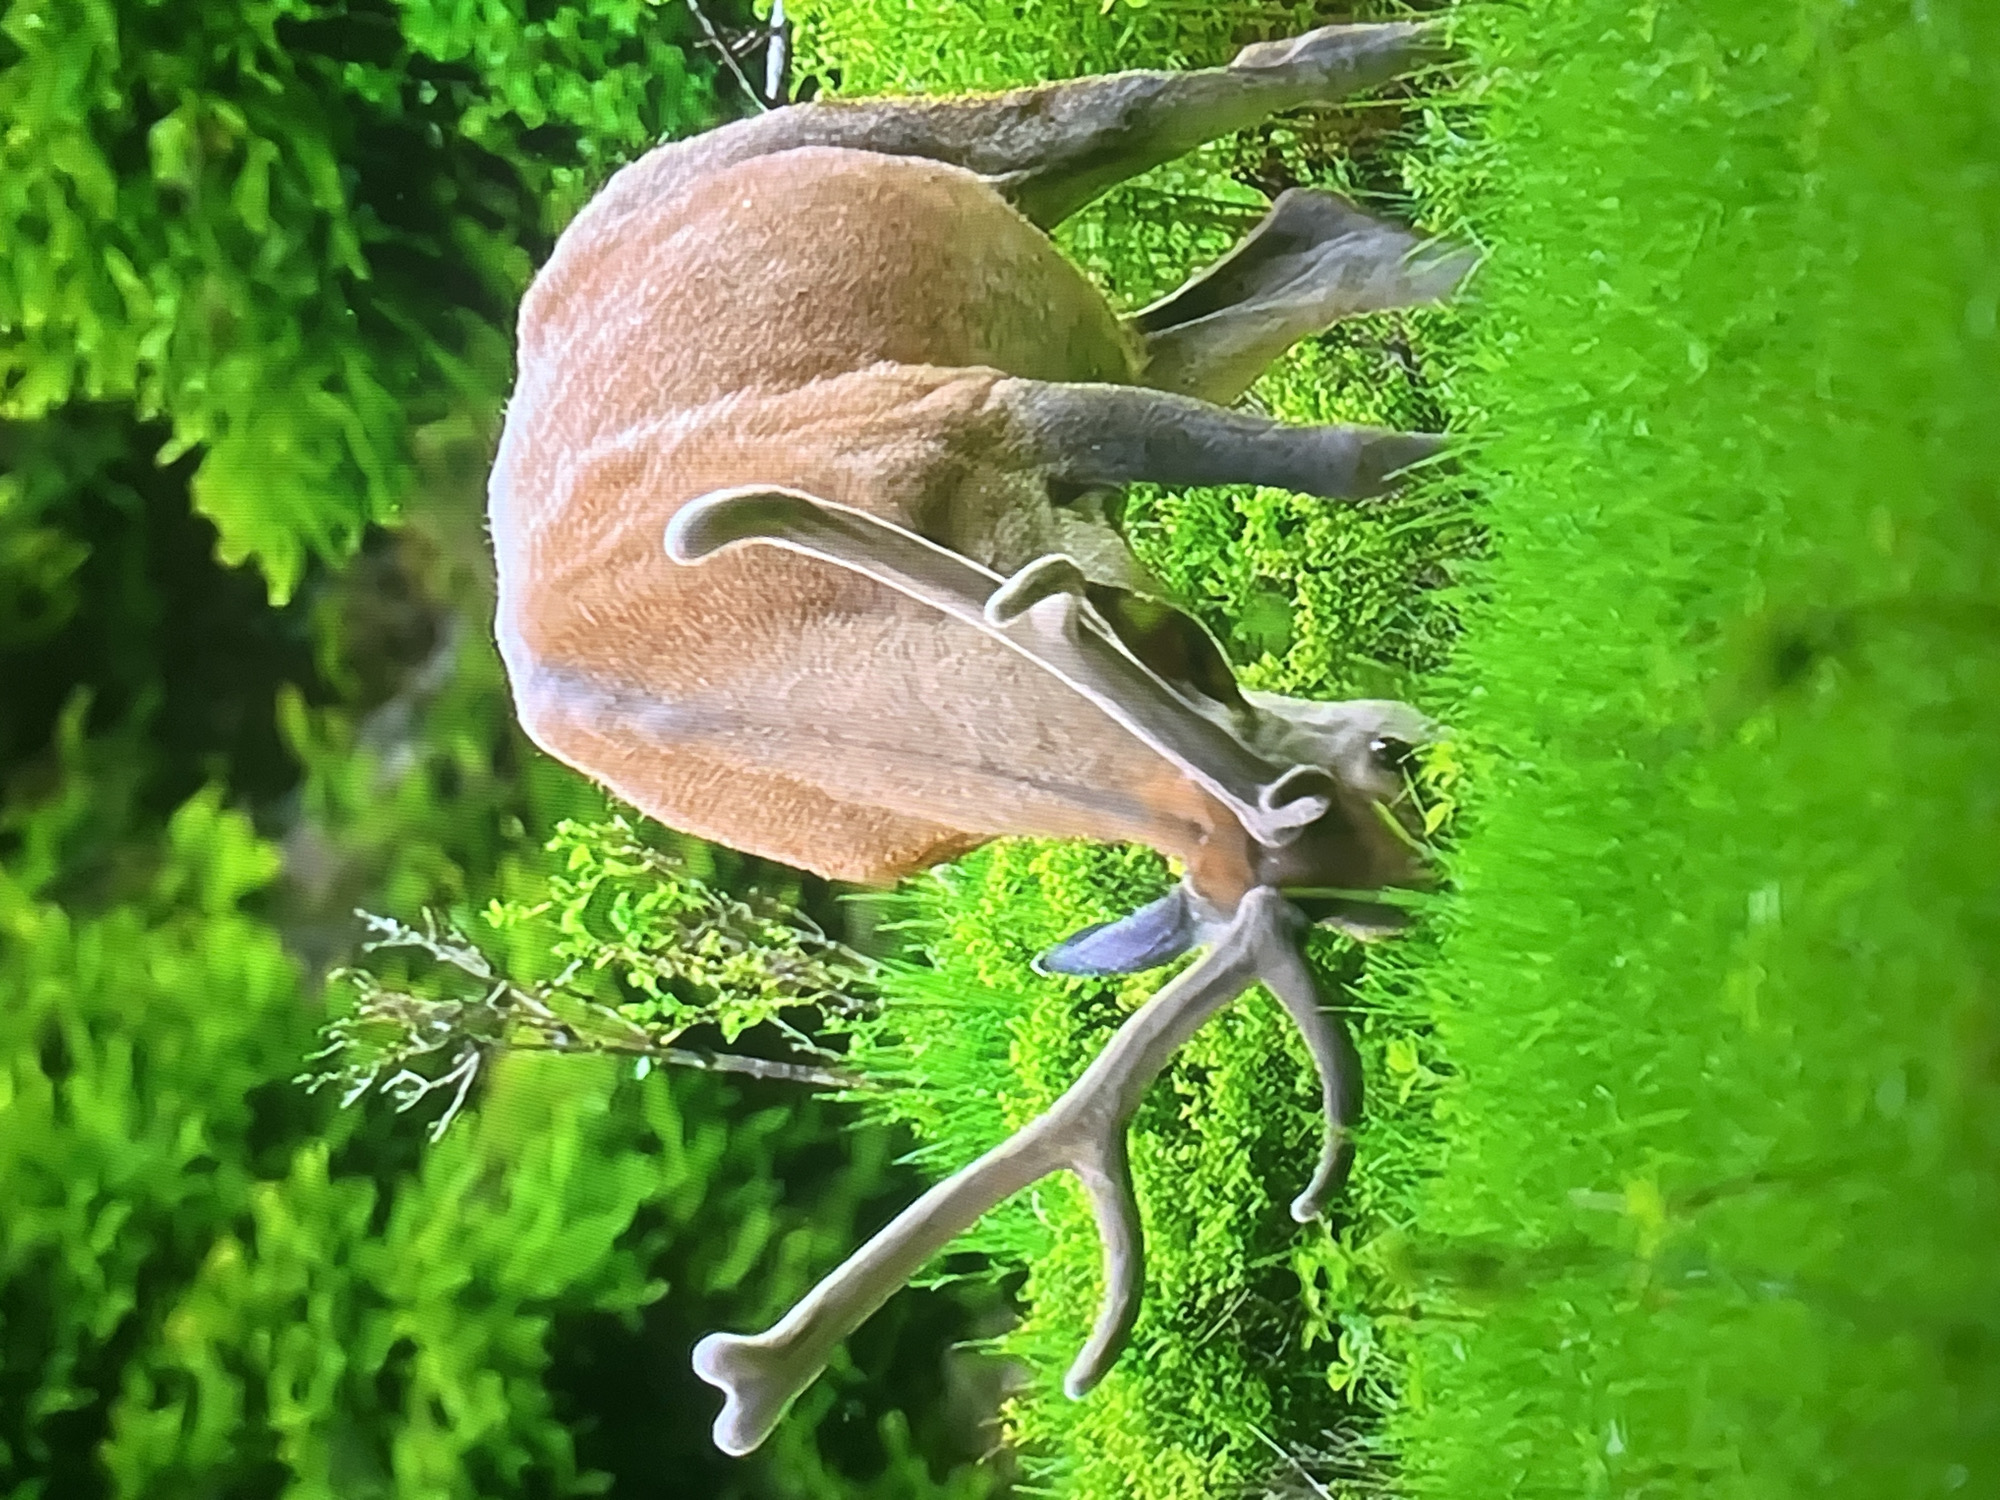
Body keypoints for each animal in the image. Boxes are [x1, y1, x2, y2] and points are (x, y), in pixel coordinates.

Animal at [486, 19, 1472, 1458]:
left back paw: (1434, 75)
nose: (1454, 874)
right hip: (1073, 319)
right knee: (1278, 258)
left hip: (921, 154)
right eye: (1359, 919)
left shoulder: (980, 412)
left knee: (1185, 97)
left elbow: (1342, 461)